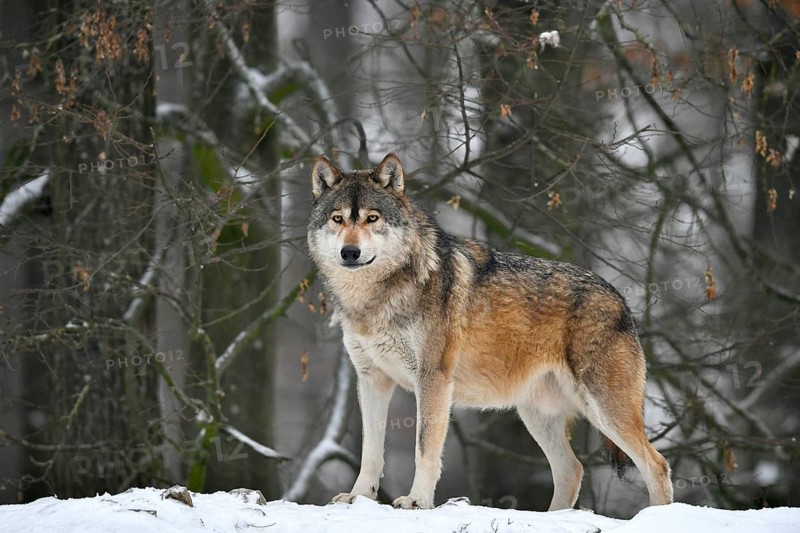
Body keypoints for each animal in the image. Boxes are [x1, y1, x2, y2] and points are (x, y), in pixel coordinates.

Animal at [307, 153, 673, 511]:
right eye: (338, 219)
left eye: (372, 218)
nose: (350, 252)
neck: (374, 298)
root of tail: (621, 299)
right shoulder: (372, 378)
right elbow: (370, 449)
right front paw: (358, 497)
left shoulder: (433, 378)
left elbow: (425, 447)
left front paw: (416, 501)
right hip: (536, 415)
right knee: (573, 470)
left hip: (603, 408)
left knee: (656, 464)